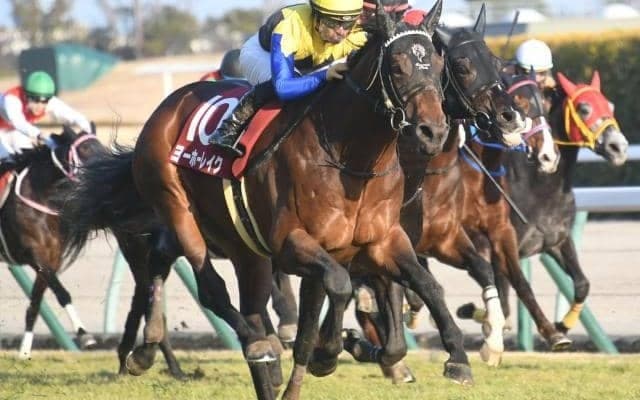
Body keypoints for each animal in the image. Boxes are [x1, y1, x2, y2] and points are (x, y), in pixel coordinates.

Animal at [0, 124, 104, 359]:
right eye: (85, 150)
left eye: (102, 148)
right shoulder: (34, 256)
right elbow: (61, 293)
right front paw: (85, 335)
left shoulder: (51, 258)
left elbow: (35, 304)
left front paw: (24, 352)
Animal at [61, 3, 468, 399]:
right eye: (397, 67)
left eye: (439, 67)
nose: (432, 132)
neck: (352, 160)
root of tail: (167, 107)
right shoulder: (290, 244)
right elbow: (338, 286)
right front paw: (328, 353)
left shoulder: (380, 242)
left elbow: (425, 288)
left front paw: (457, 358)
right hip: (176, 206)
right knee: (212, 290)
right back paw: (259, 345)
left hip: (242, 247)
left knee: (170, 262)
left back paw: (149, 350)